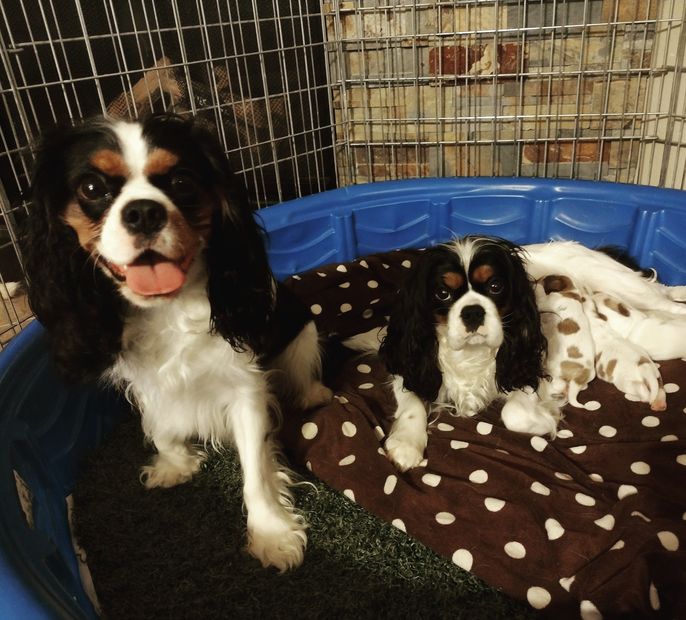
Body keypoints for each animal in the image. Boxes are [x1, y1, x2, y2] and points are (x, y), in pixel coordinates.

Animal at [23, 113, 332, 571]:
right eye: (92, 188)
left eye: (182, 181)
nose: (143, 212)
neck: (167, 308)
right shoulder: (146, 382)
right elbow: (159, 425)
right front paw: (175, 464)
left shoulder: (246, 387)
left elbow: (255, 471)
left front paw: (271, 535)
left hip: (302, 335)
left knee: (303, 374)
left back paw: (314, 394)